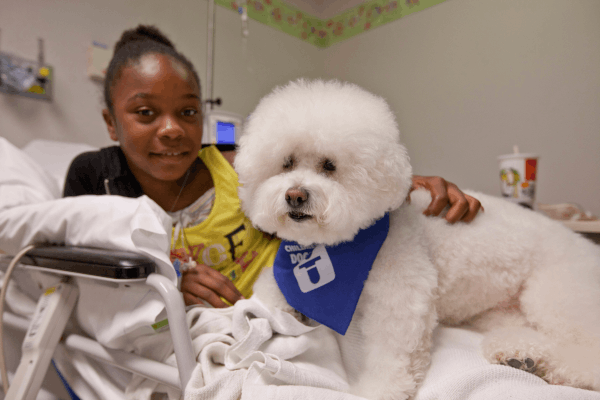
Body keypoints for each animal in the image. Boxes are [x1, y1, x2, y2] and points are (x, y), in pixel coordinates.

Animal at [233, 79, 600, 398]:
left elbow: (393, 350)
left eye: (329, 166)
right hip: (502, 312)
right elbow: (268, 290)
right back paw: (521, 353)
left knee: (588, 354)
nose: (295, 195)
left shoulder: (403, 290)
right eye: (286, 163)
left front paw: (378, 391)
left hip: (556, 294)